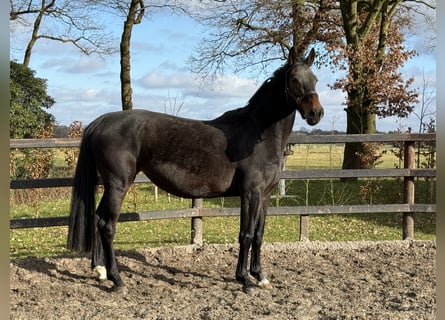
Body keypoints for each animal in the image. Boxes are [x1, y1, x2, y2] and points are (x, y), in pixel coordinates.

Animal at [66, 46, 322, 294]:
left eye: (315, 79)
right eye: (295, 80)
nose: (316, 113)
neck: (259, 134)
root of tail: (101, 121)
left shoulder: (266, 195)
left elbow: (258, 236)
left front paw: (260, 277)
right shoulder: (251, 193)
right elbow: (246, 235)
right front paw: (245, 280)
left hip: (111, 186)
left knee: (98, 219)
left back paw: (100, 271)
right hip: (118, 185)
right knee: (108, 226)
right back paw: (117, 281)